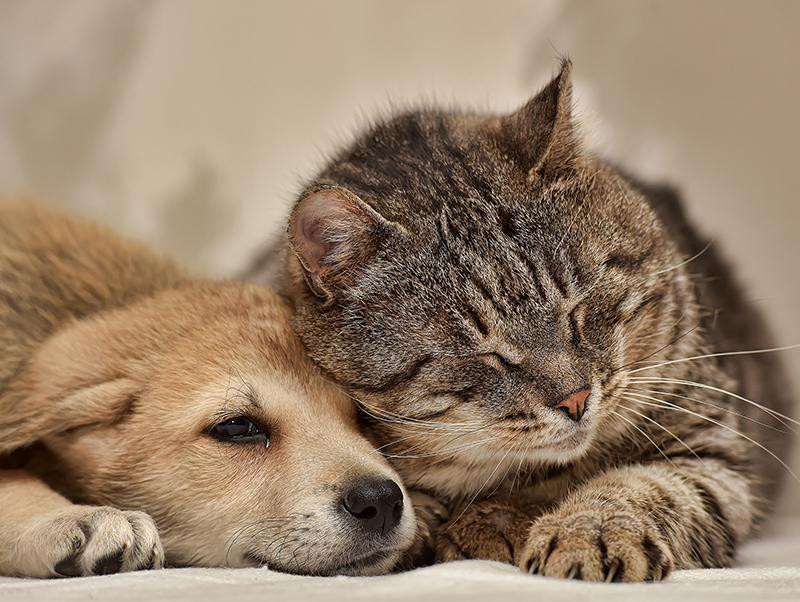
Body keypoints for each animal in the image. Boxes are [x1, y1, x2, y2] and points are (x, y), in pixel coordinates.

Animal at [247, 61, 796, 580]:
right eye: (486, 353)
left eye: (577, 309)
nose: (575, 400)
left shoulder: (711, 448)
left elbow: (641, 486)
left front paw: (584, 531)